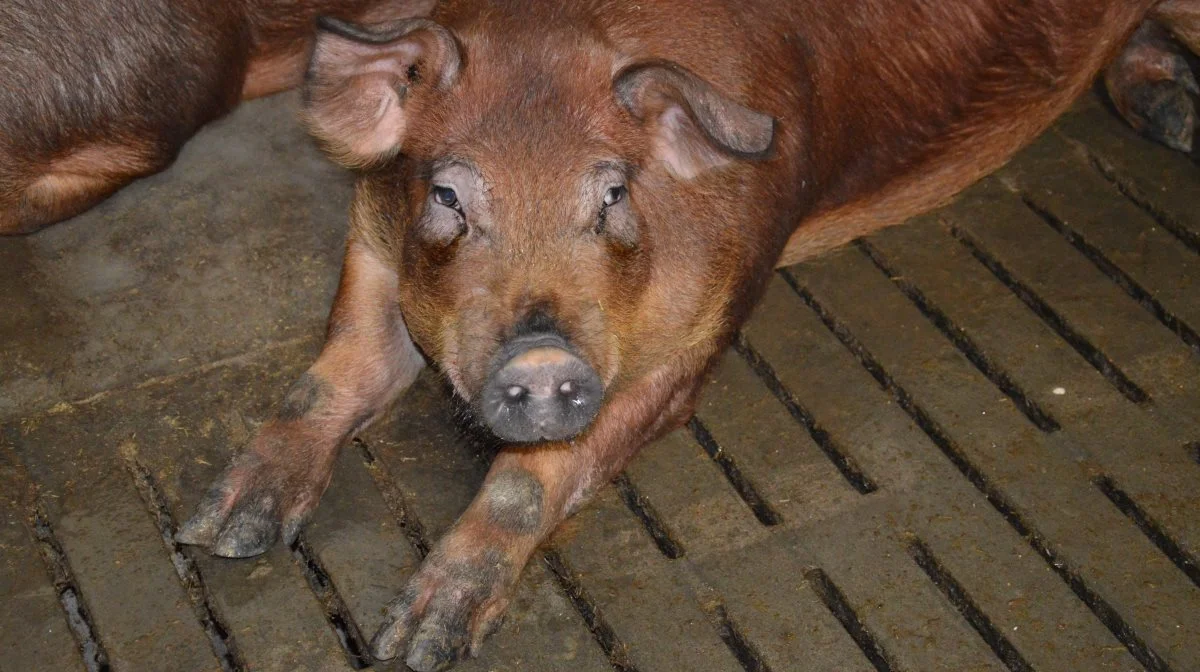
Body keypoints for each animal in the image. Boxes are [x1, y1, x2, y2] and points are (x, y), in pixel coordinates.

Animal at [166, 1, 1200, 672]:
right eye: (450, 194)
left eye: (613, 194)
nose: (543, 357)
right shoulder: (372, 244)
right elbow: (327, 379)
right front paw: (219, 533)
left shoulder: (698, 341)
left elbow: (531, 478)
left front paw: (417, 643)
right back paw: (1175, 117)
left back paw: (1179, 125)